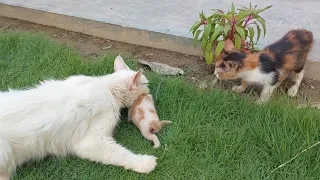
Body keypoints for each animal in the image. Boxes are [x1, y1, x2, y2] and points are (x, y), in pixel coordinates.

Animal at [0, 55, 156, 179]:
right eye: (146, 83)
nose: (150, 91)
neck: (106, 87)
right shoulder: (92, 142)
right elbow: (122, 154)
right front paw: (146, 163)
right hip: (4, 150)